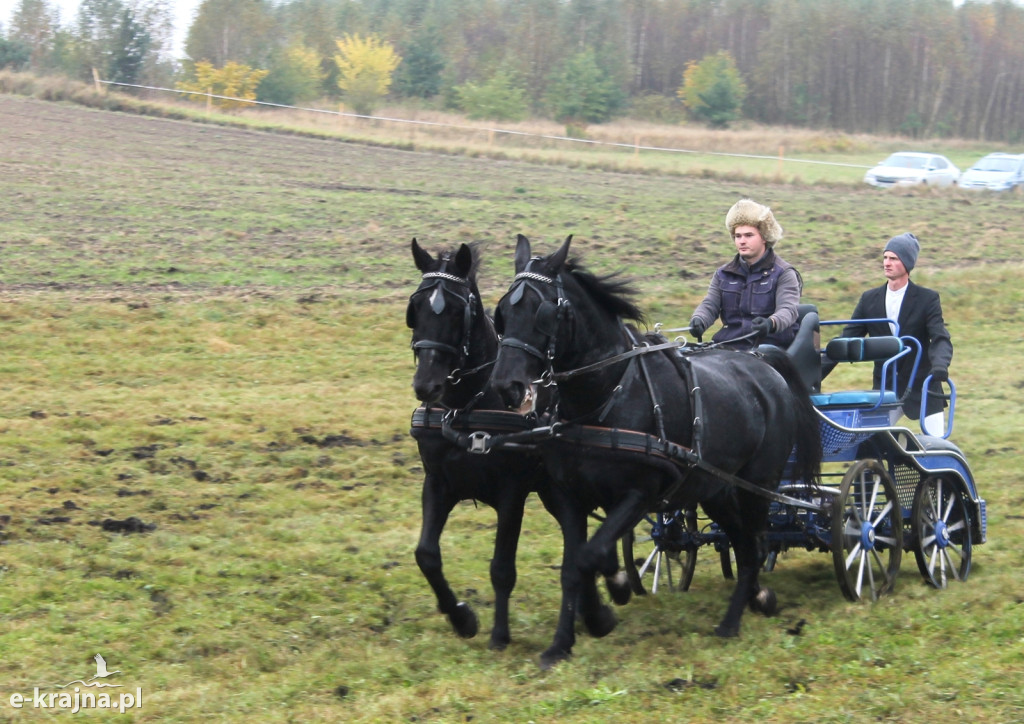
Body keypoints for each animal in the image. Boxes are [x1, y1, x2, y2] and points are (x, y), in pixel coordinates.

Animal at [403, 237, 626, 651]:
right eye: (415, 308)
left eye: (457, 311)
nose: (426, 384)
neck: (468, 405)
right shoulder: (438, 482)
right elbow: (426, 555)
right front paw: (462, 617)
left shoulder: (511, 492)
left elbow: (502, 567)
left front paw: (500, 635)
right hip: (555, 490)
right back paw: (598, 606)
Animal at [489, 233, 823, 667]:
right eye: (501, 313)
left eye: (542, 312)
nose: (506, 386)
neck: (607, 394)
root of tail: (761, 361)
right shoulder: (571, 498)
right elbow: (572, 567)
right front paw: (562, 643)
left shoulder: (640, 493)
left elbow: (588, 557)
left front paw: (605, 607)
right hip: (716, 490)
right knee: (745, 544)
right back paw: (755, 600)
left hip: (756, 485)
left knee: (753, 547)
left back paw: (732, 621)